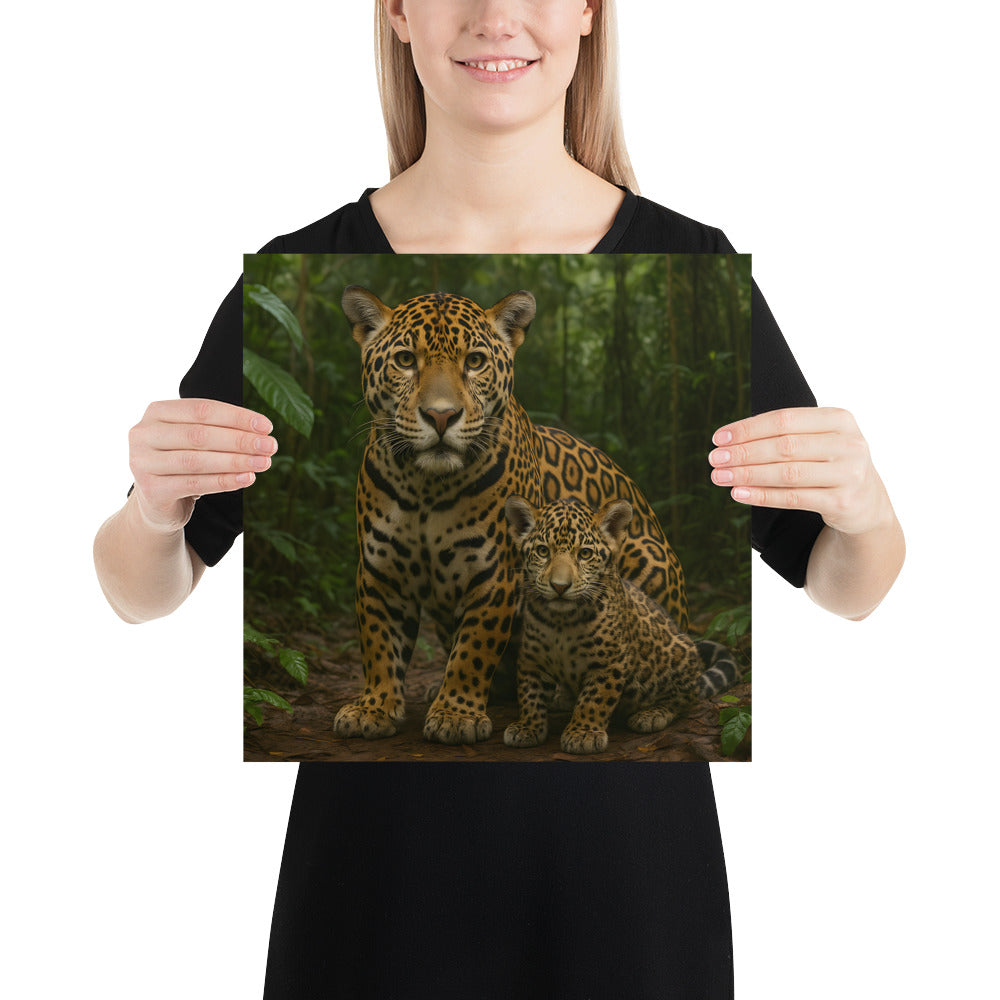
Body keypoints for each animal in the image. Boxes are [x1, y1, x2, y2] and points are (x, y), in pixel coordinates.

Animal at [334, 286, 687, 745]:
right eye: (406, 360)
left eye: (474, 361)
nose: (442, 416)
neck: (427, 486)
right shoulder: (380, 570)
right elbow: (379, 645)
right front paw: (373, 708)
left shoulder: (494, 571)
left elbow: (473, 650)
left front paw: (456, 715)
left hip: (648, 565)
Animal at [503, 495, 740, 755]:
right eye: (543, 551)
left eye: (584, 554)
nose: (559, 586)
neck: (560, 622)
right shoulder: (531, 658)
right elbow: (530, 695)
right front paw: (527, 727)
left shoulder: (610, 662)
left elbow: (594, 700)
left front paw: (583, 733)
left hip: (682, 656)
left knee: (683, 700)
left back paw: (652, 714)